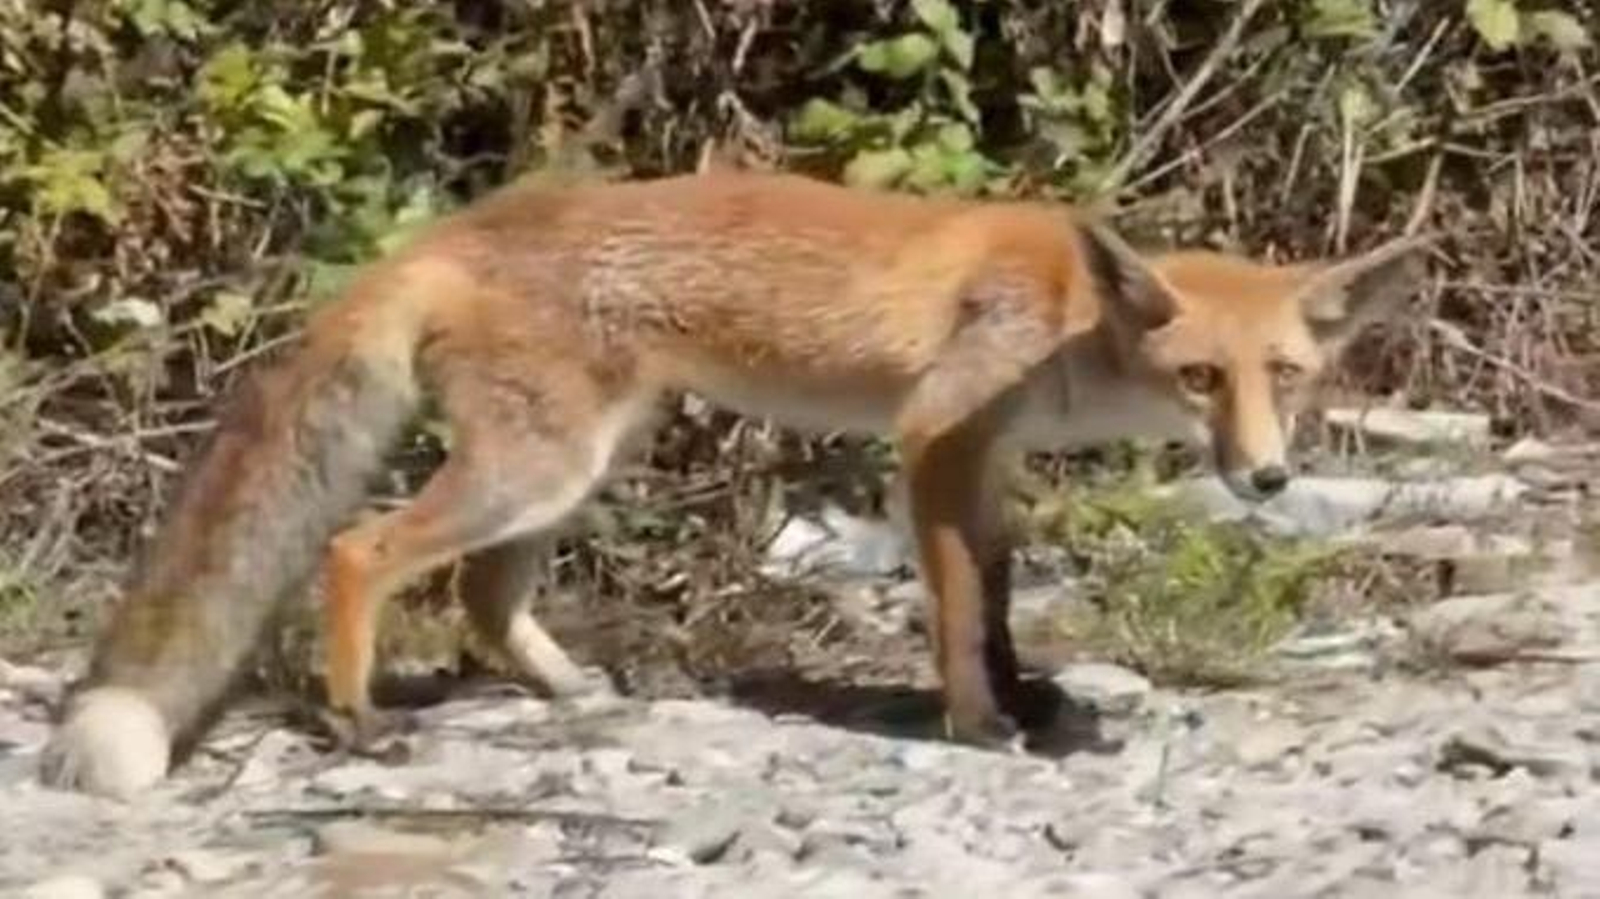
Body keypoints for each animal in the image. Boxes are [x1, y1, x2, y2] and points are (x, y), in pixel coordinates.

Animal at [37, 169, 1428, 799]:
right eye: (1199, 377)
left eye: (1285, 376)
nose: (1267, 475)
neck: (1066, 316)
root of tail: (456, 229)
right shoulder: (933, 439)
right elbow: (956, 610)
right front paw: (979, 723)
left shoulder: (987, 461)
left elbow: (999, 593)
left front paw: (1031, 700)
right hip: (538, 467)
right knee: (356, 549)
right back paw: (357, 718)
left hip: (579, 465)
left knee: (483, 596)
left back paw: (568, 692)